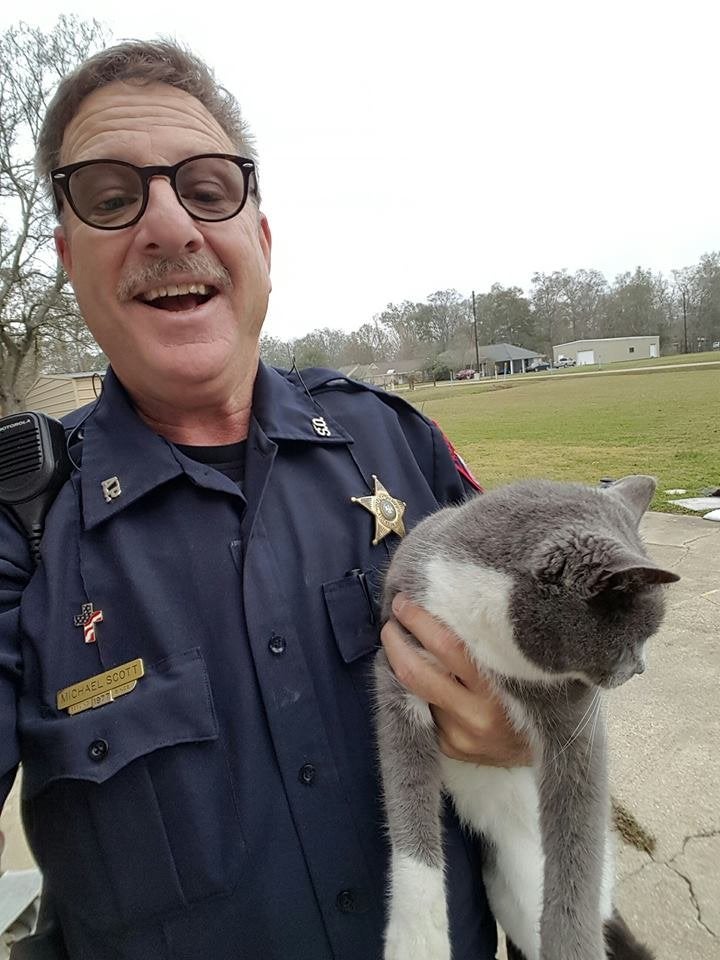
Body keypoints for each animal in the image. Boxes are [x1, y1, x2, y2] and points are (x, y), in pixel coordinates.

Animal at [376, 476, 680, 960]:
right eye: (636, 638)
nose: (640, 669)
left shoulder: (573, 714)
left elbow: (578, 836)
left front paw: (573, 945)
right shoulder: (399, 661)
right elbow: (407, 799)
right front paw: (418, 941)